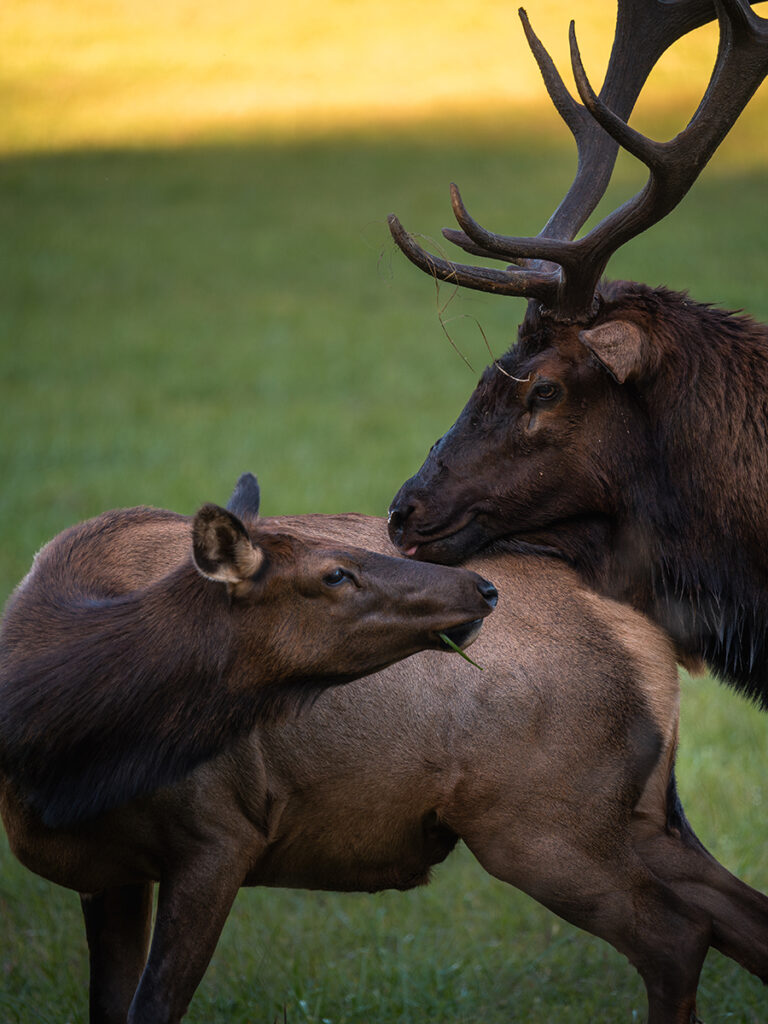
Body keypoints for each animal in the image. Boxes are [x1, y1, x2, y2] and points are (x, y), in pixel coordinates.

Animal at [1, 475, 768, 1019]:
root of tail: (653, 639)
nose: (481, 586)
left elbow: (152, 1008)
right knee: (735, 914)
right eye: (335, 573)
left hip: (542, 821)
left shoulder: (219, 834)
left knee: (675, 937)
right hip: (632, 812)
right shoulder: (113, 869)